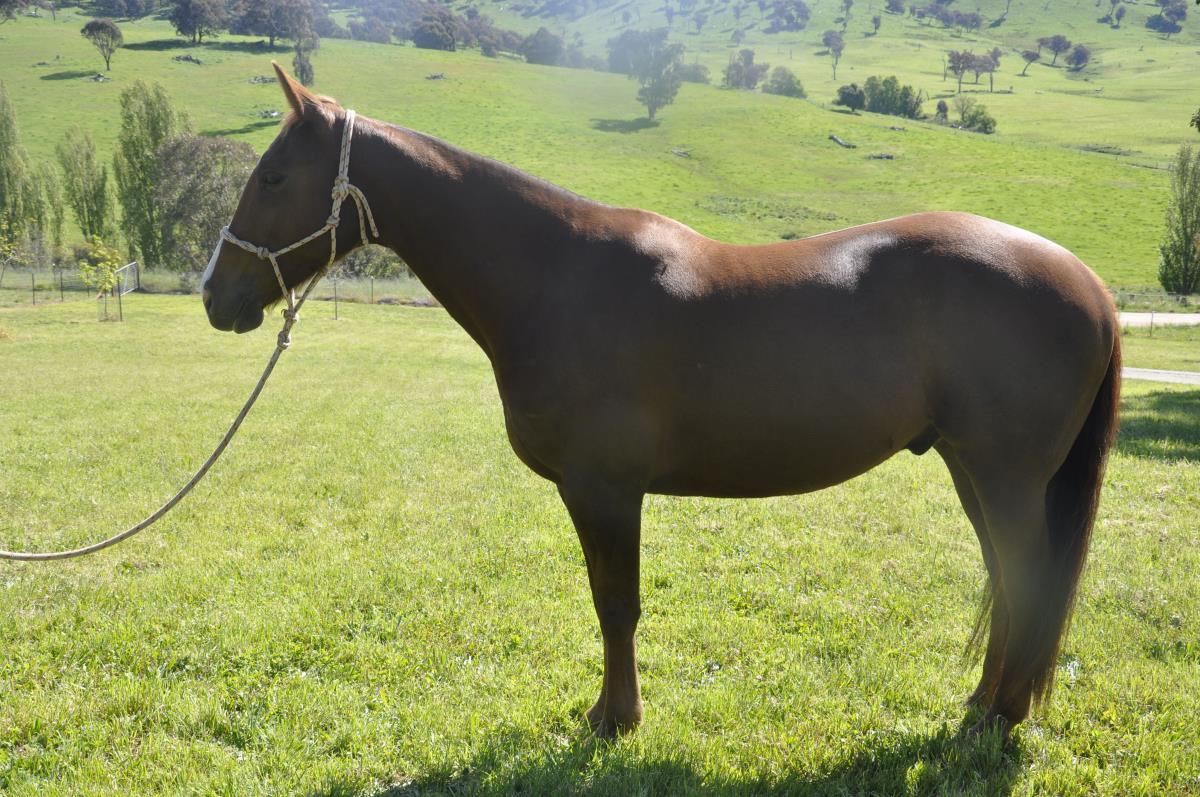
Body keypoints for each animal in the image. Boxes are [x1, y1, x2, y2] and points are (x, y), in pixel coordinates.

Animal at [202, 65, 1120, 739]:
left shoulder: (604, 490)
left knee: (1026, 579)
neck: (556, 276)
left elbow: (618, 605)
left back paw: (997, 716)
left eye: (274, 175)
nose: (216, 297)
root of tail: (1092, 284)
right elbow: (614, 603)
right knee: (1011, 583)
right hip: (974, 470)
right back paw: (985, 704)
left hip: (1004, 477)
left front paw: (614, 719)